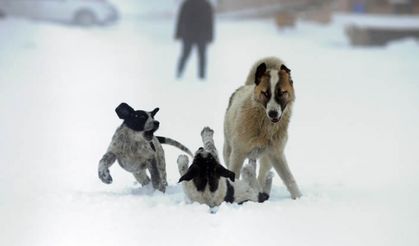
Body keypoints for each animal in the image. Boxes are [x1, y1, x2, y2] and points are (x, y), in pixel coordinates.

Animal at [226, 56, 302, 199]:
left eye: (281, 93)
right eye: (265, 93)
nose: (273, 113)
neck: (265, 128)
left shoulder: (277, 154)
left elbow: (289, 179)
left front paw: (300, 198)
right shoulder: (238, 153)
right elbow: (232, 176)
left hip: (267, 160)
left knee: (261, 176)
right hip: (228, 149)